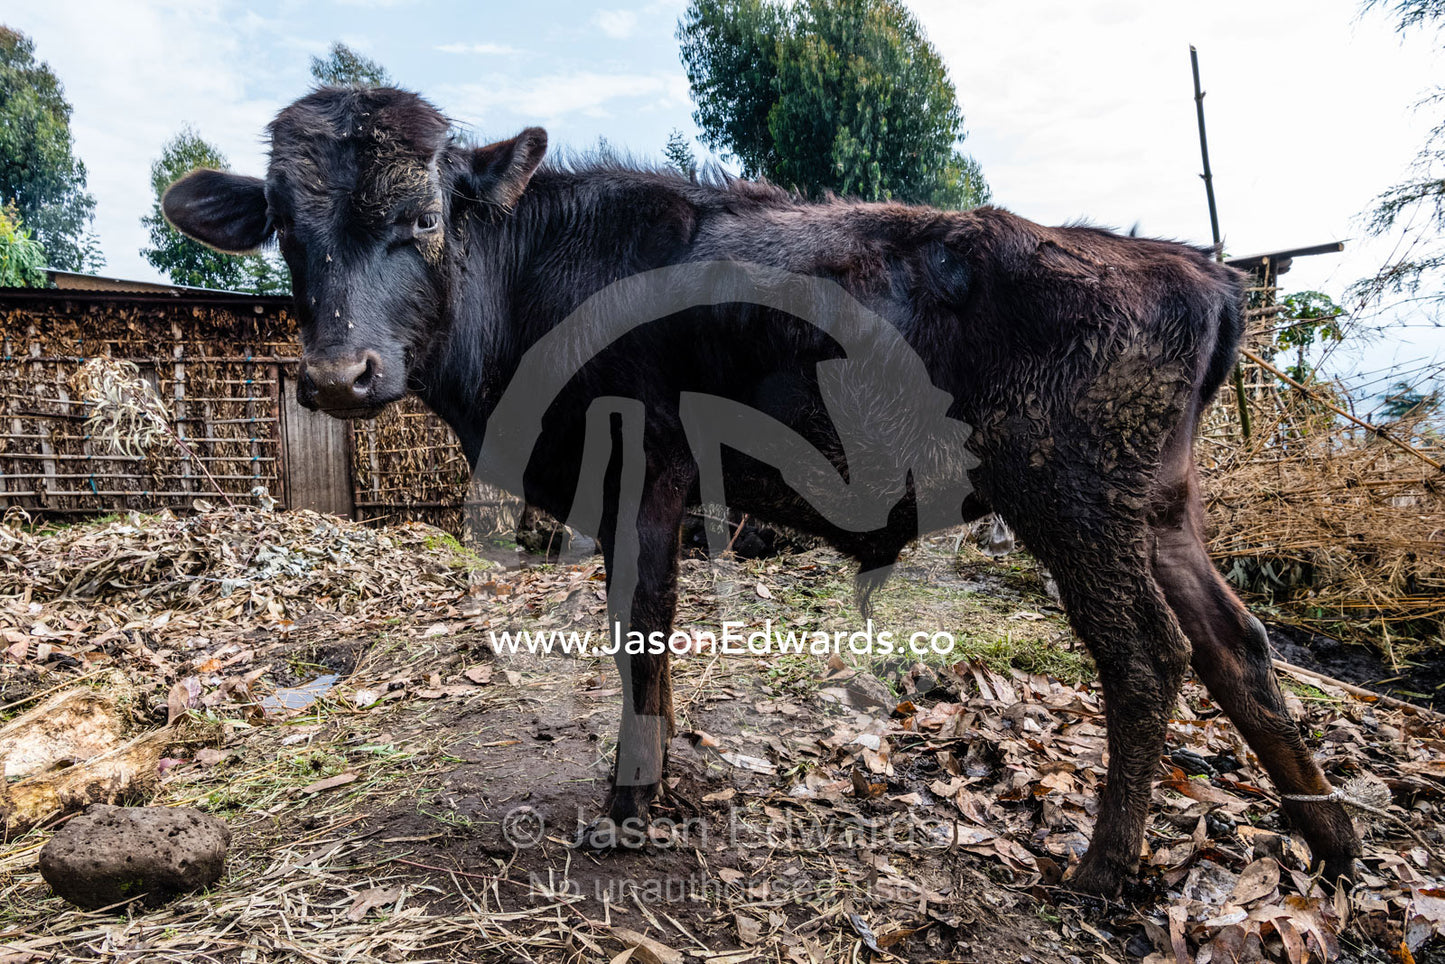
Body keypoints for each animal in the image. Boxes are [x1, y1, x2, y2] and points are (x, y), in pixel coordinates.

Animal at [161, 86, 1361, 896]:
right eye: (288, 232)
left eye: (424, 220)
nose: (337, 375)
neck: (537, 273)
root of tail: (1193, 267)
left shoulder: (641, 472)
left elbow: (639, 629)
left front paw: (630, 804)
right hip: (1160, 508)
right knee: (1235, 642)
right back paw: (1329, 836)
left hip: (1073, 501)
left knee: (1146, 656)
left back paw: (1104, 870)